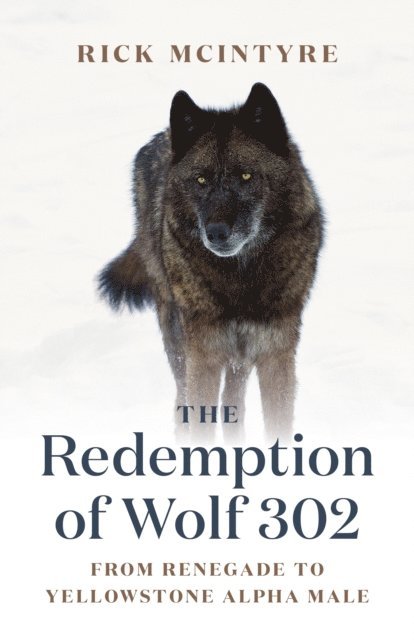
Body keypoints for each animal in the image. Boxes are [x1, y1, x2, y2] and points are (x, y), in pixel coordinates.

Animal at [98, 83, 324, 436]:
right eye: (201, 180)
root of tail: (163, 134)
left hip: (239, 357)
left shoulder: (276, 354)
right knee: (182, 400)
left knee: (235, 401)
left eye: (246, 176)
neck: (241, 280)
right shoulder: (203, 356)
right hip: (178, 338)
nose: (215, 233)